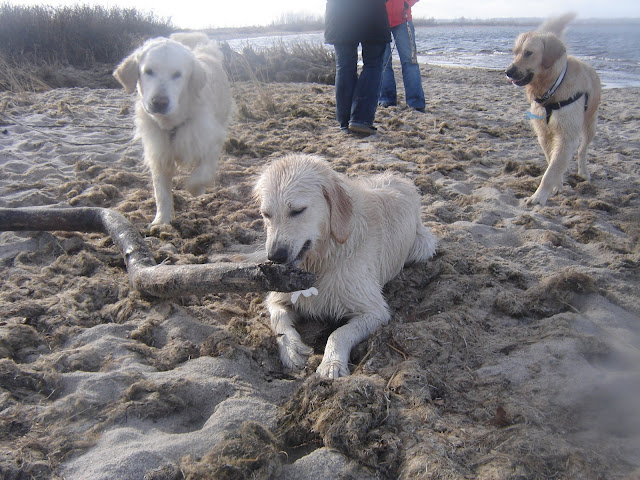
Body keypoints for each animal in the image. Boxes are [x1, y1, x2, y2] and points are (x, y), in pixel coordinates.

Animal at [114, 32, 234, 224]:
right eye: (148, 71)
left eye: (178, 74)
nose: (159, 102)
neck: (171, 123)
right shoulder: (159, 153)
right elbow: (161, 192)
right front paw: (161, 221)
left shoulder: (212, 140)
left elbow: (201, 174)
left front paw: (196, 189)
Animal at [253, 154, 437, 378]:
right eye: (266, 214)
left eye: (297, 211)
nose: (274, 257)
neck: (323, 259)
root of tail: (399, 177)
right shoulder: (278, 296)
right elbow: (279, 318)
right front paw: (292, 350)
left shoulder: (374, 312)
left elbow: (339, 333)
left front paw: (331, 363)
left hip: (422, 246)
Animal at [505, 13, 601, 206]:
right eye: (515, 52)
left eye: (528, 53)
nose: (508, 71)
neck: (552, 87)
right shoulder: (544, 133)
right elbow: (552, 161)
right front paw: (557, 185)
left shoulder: (566, 135)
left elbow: (551, 170)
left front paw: (538, 196)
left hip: (590, 123)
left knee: (582, 150)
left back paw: (584, 171)